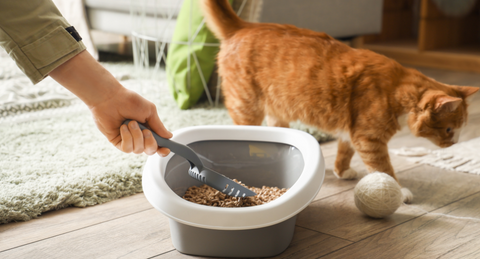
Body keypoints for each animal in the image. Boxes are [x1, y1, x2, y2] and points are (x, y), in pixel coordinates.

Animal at [199, 0, 476, 203]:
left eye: (459, 130)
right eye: (449, 129)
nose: (455, 143)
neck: (396, 89)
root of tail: (243, 26)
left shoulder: (352, 132)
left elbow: (345, 151)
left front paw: (342, 172)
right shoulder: (369, 139)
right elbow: (384, 169)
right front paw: (399, 191)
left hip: (278, 111)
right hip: (246, 106)